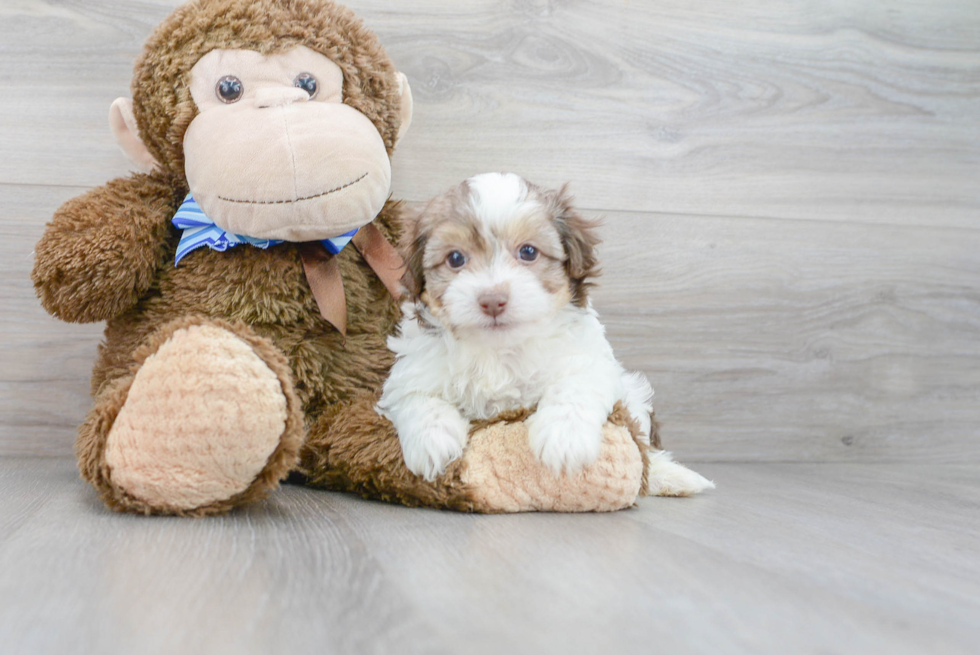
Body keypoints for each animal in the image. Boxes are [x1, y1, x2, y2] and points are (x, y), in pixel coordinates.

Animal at [378, 174, 712, 498]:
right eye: (456, 259)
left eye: (528, 252)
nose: (492, 300)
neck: (499, 350)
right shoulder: (412, 372)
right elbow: (419, 399)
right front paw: (433, 443)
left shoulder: (588, 360)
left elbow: (573, 388)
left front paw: (564, 439)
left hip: (634, 396)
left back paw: (668, 476)